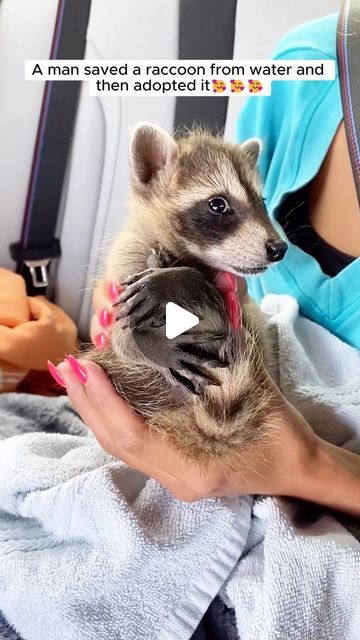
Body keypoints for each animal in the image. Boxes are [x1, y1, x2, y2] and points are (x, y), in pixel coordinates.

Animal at [89, 124, 286, 464]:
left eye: (261, 201)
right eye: (218, 204)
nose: (279, 248)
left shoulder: (239, 296)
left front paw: (181, 280)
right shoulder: (128, 260)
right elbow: (120, 338)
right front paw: (149, 344)